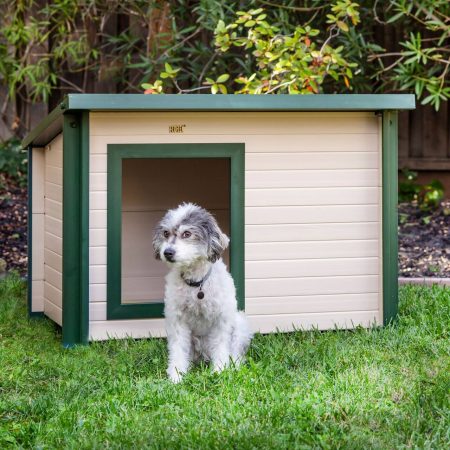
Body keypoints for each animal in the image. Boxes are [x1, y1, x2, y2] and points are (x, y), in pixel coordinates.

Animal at [153, 202, 253, 382]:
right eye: (166, 233)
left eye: (187, 233)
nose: (167, 252)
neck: (196, 285)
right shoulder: (177, 321)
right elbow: (178, 350)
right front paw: (176, 375)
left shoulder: (221, 320)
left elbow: (221, 348)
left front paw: (220, 371)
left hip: (240, 325)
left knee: (235, 353)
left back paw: (234, 367)